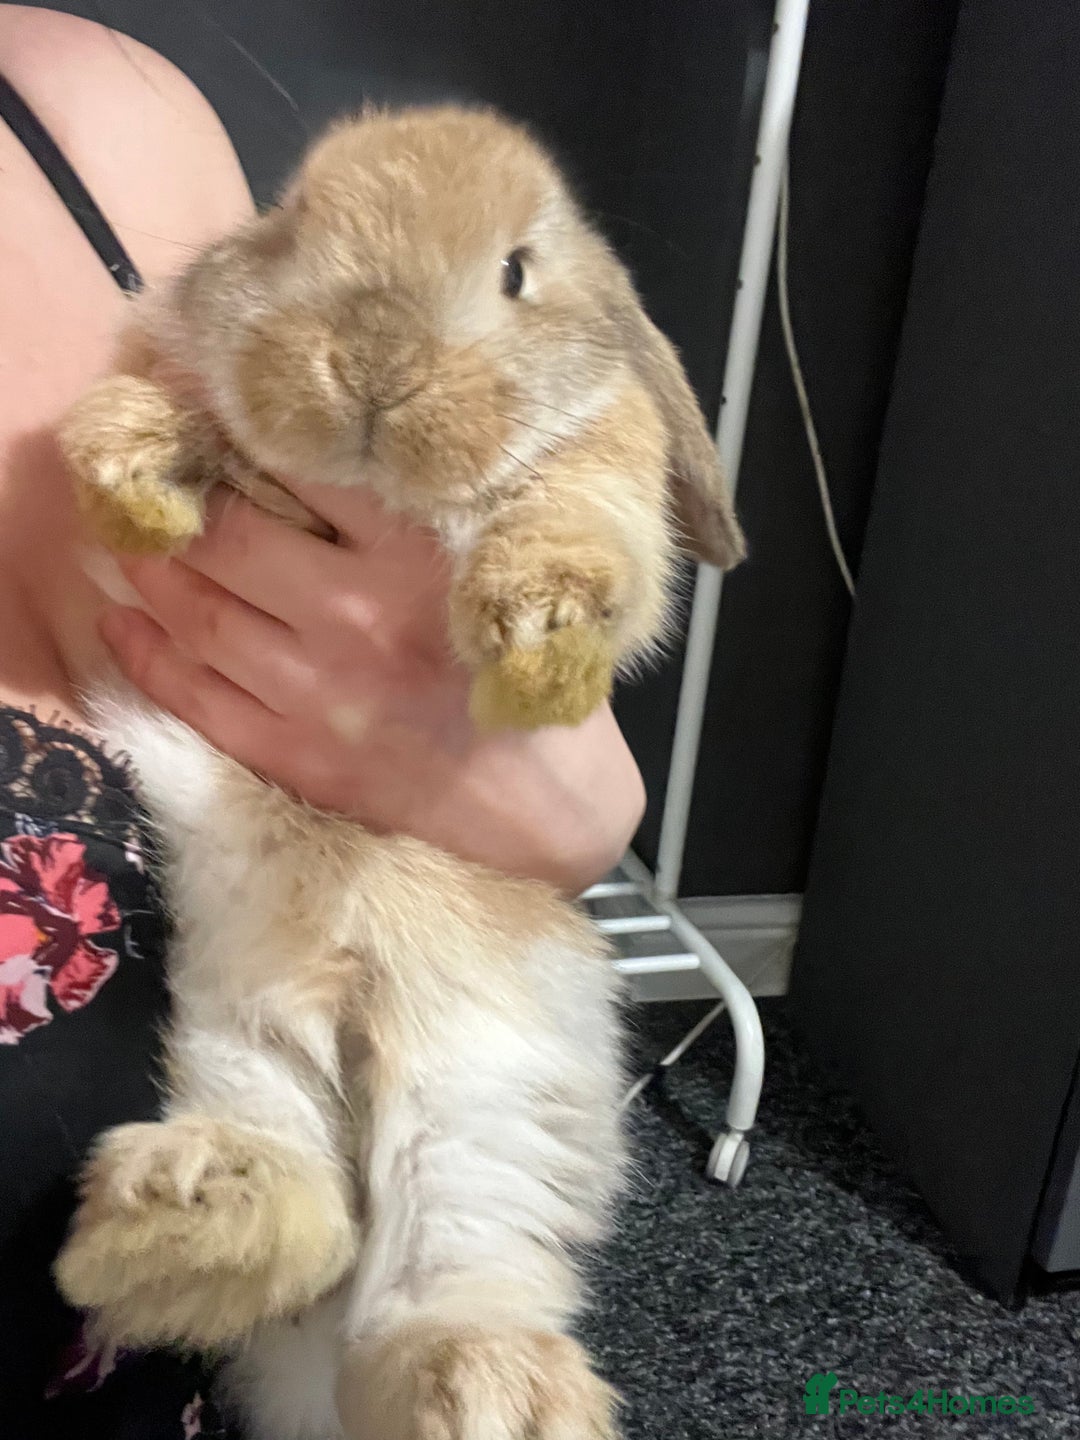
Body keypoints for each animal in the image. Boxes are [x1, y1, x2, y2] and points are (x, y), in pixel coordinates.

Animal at [52, 105, 745, 1440]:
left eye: (518, 270)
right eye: (290, 222)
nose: (373, 363)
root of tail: (354, 1010)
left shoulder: (603, 471)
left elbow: (580, 529)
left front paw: (539, 649)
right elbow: (173, 420)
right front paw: (124, 477)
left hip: (488, 1099)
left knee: (439, 1280)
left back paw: (488, 1391)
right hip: (239, 1031)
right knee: (313, 1217)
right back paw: (182, 1219)